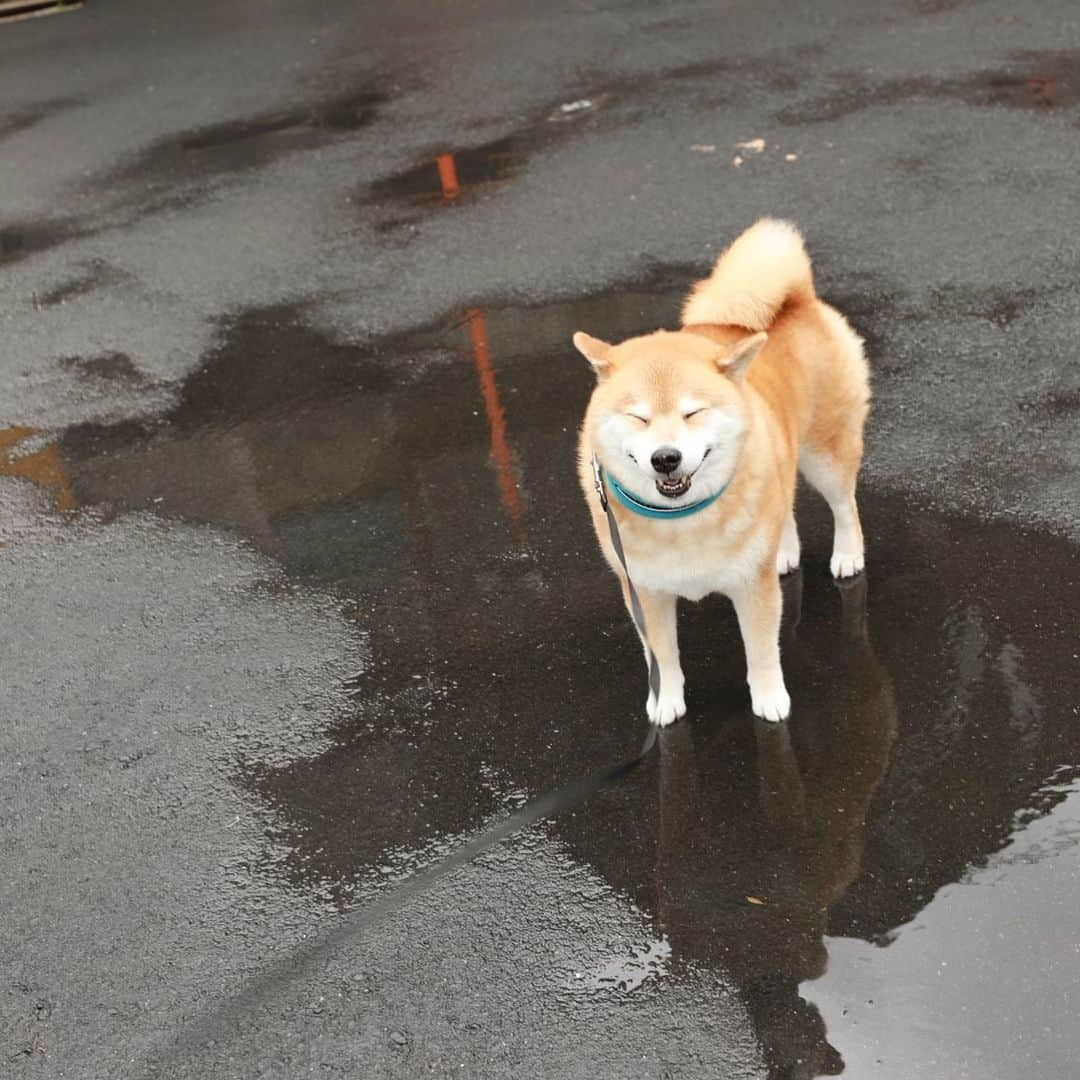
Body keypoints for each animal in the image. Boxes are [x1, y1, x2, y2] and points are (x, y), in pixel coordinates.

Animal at [574, 219, 868, 725]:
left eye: (693, 413)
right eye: (639, 418)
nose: (666, 458)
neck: (681, 519)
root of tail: (798, 299)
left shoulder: (752, 587)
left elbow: (762, 651)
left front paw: (769, 698)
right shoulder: (644, 591)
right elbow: (662, 656)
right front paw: (666, 700)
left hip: (825, 453)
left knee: (844, 504)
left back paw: (848, 554)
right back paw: (784, 549)